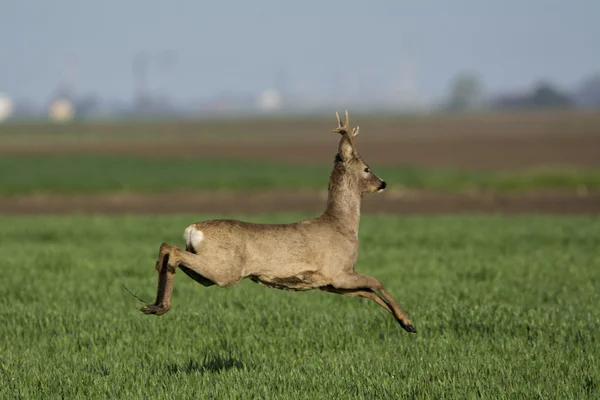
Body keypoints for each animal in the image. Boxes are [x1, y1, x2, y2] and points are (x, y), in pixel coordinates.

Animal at [139, 109, 418, 332]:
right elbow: (376, 282)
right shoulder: (339, 272)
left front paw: (405, 324)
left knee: (168, 249)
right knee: (173, 251)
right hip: (225, 269)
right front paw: (408, 321)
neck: (342, 225)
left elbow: (368, 292)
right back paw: (159, 304)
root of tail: (193, 229)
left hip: (208, 272)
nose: (383, 183)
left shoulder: (330, 283)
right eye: (367, 169)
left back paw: (153, 304)